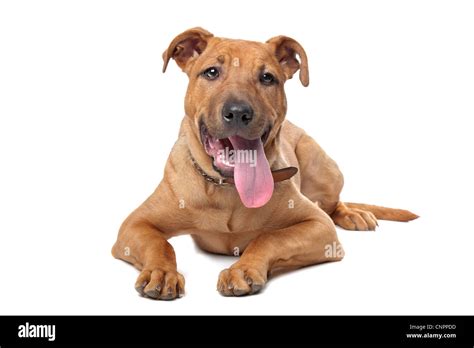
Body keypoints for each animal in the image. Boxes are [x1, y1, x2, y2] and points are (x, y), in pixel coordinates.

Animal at [112, 27, 418, 300]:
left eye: (267, 78)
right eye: (211, 72)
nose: (238, 112)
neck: (228, 191)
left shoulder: (319, 226)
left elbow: (269, 238)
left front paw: (243, 269)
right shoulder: (135, 224)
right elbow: (160, 244)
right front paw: (162, 272)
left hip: (325, 169)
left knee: (333, 205)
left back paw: (354, 214)